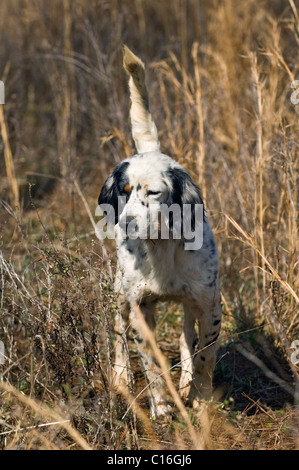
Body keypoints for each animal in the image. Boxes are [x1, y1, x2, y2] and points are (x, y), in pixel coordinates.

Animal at [98, 45, 223, 418]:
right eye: (122, 191)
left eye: (153, 192)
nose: (126, 222)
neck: (161, 247)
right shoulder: (141, 307)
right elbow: (150, 362)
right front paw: (162, 406)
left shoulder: (209, 305)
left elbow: (205, 358)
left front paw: (200, 401)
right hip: (120, 291)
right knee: (118, 333)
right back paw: (122, 376)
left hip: (189, 303)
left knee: (185, 339)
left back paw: (185, 382)